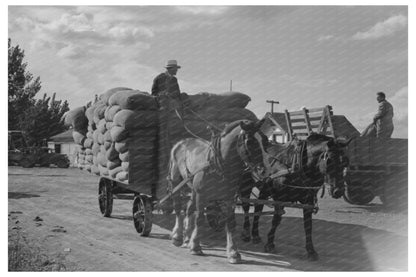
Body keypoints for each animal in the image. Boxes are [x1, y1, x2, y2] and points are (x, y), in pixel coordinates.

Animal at [167, 118, 272, 264]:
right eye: (250, 141)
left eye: (265, 141)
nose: (264, 171)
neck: (218, 166)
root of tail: (182, 142)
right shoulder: (202, 195)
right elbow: (199, 218)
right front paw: (196, 246)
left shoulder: (229, 198)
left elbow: (230, 222)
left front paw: (233, 253)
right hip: (177, 182)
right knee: (178, 207)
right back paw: (177, 237)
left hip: (193, 189)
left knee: (188, 209)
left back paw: (187, 238)